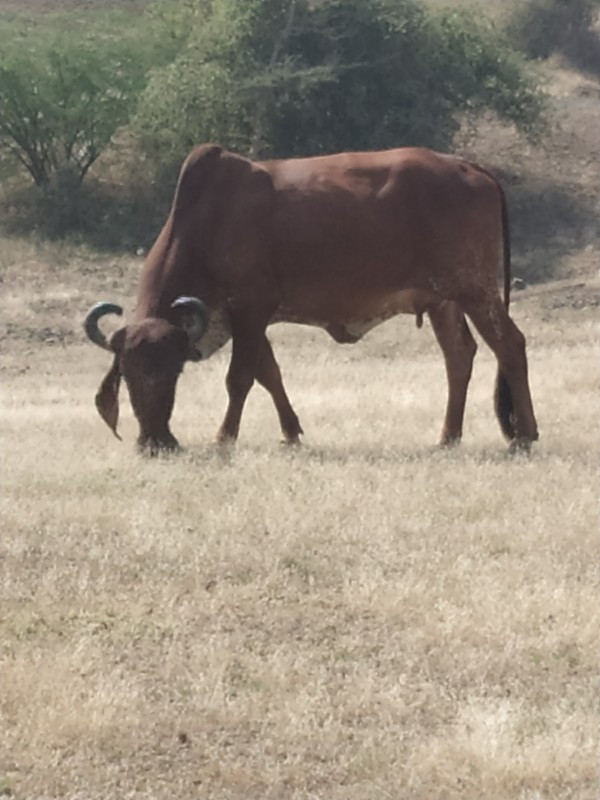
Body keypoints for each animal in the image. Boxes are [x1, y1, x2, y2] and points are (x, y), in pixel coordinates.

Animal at [84, 144, 540, 454]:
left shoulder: (251, 309)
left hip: (475, 290)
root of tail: (469, 166)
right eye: (127, 373)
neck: (207, 222)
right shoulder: (243, 318)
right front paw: (291, 432)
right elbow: (269, 374)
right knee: (459, 357)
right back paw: (448, 436)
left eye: (174, 371)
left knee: (510, 345)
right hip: (444, 301)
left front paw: (224, 438)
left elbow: (239, 378)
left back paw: (524, 435)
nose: (155, 442)